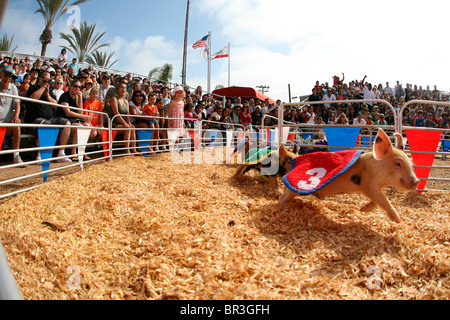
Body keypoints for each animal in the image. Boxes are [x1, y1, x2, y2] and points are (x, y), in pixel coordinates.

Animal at [280, 129, 420, 224]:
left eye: (410, 163)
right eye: (398, 163)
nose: (417, 181)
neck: (375, 168)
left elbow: (377, 201)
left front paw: (363, 210)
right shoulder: (369, 185)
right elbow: (384, 200)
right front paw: (397, 220)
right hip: (294, 187)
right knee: (283, 197)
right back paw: (279, 207)